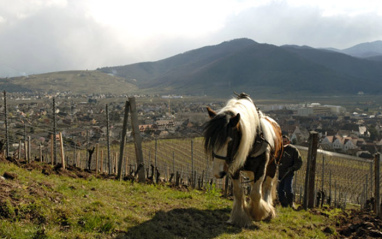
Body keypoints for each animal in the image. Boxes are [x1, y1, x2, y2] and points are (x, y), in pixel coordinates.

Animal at [203, 92, 284, 227]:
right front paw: (239, 216)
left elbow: (256, 193)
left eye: (230, 141)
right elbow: (238, 191)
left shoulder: (261, 168)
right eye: (213, 140)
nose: (217, 173)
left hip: (273, 165)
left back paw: (268, 210)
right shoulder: (233, 167)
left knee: (267, 185)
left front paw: (259, 213)